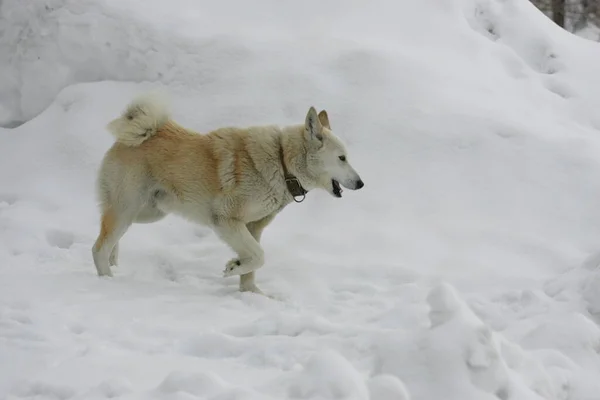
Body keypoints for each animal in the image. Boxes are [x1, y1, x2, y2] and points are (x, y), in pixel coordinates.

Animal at [91, 94, 364, 294]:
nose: (361, 184)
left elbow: (253, 263)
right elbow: (259, 256)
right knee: (99, 247)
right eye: (342, 158)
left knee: (108, 236)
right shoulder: (226, 220)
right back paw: (107, 280)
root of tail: (131, 135)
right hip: (126, 210)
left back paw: (114, 264)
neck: (282, 162)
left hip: (146, 213)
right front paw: (234, 267)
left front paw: (251, 293)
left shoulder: (253, 227)